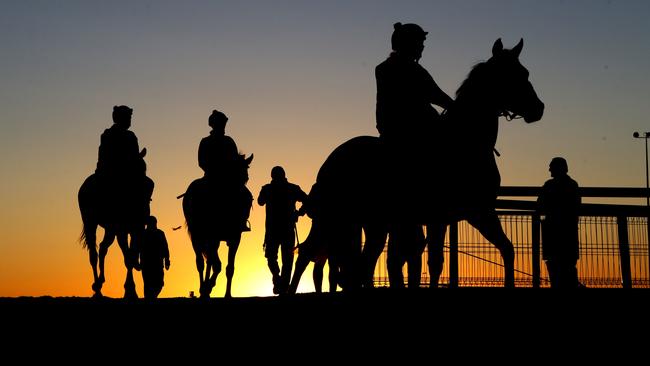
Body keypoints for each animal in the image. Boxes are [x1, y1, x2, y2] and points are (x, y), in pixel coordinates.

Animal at [78, 150, 153, 298]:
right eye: (136, 167)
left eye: (144, 167)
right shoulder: (122, 230)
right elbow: (128, 257)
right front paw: (130, 290)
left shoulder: (136, 228)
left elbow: (131, 254)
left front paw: (131, 289)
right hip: (91, 222)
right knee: (93, 253)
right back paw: (97, 288)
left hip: (110, 229)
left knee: (103, 247)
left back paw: (101, 281)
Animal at [182, 153, 256, 298]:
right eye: (233, 172)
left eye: (246, 175)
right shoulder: (212, 237)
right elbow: (217, 265)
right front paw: (207, 287)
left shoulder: (235, 238)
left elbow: (229, 268)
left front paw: (227, 294)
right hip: (197, 236)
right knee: (201, 263)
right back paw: (203, 288)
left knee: (209, 261)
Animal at [296, 39, 544, 292]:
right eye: (511, 75)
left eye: (525, 73)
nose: (538, 108)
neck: (464, 142)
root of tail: (329, 162)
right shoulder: (450, 216)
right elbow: (435, 262)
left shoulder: (475, 213)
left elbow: (506, 249)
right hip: (336, 219)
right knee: (314, 256)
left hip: (370, 224)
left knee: (359, 264)